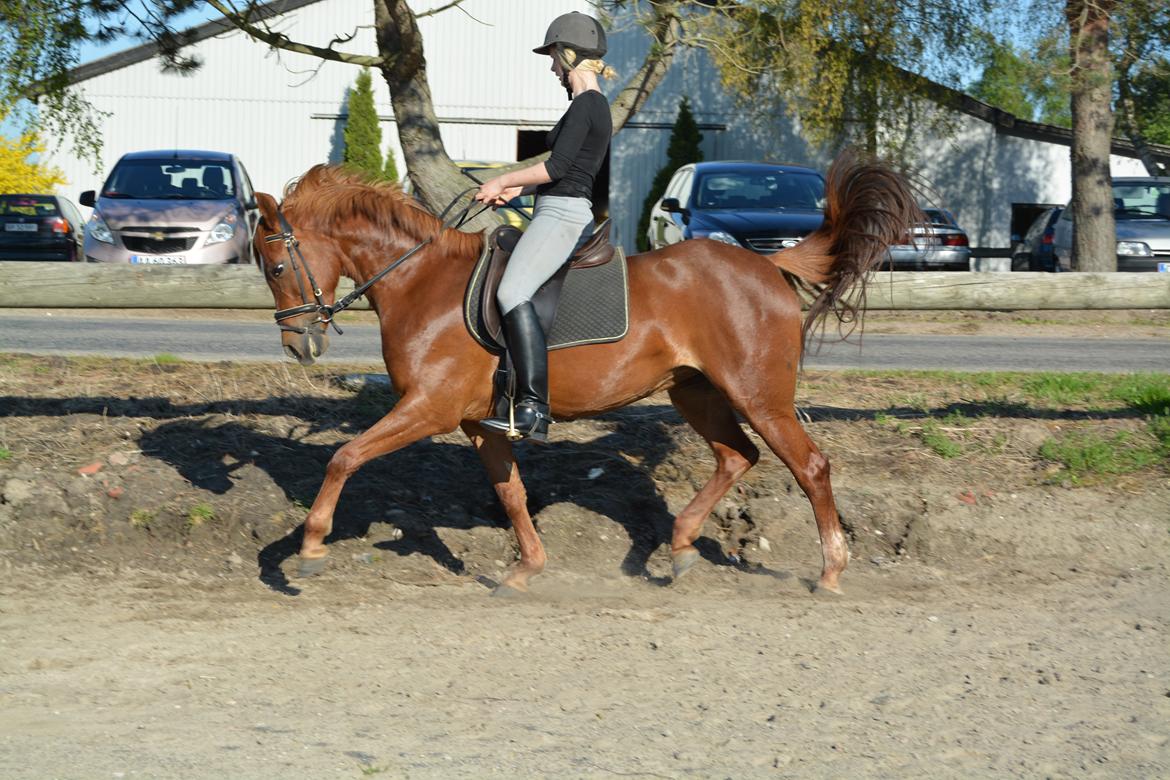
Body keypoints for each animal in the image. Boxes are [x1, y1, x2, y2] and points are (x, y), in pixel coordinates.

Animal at [253, 154, 921, 598]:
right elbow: (512, 493)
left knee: (809, 467)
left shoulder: (430, 409)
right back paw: (680, 547)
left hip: (759, 396)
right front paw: (526, 568)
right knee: (737, 457)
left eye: (277, 265)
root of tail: (766, 265)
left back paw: (830, 571)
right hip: (695, 392)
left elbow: (345, 456)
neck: (423, 282)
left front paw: (308, 549)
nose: (298, 344)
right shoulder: (480, 423)